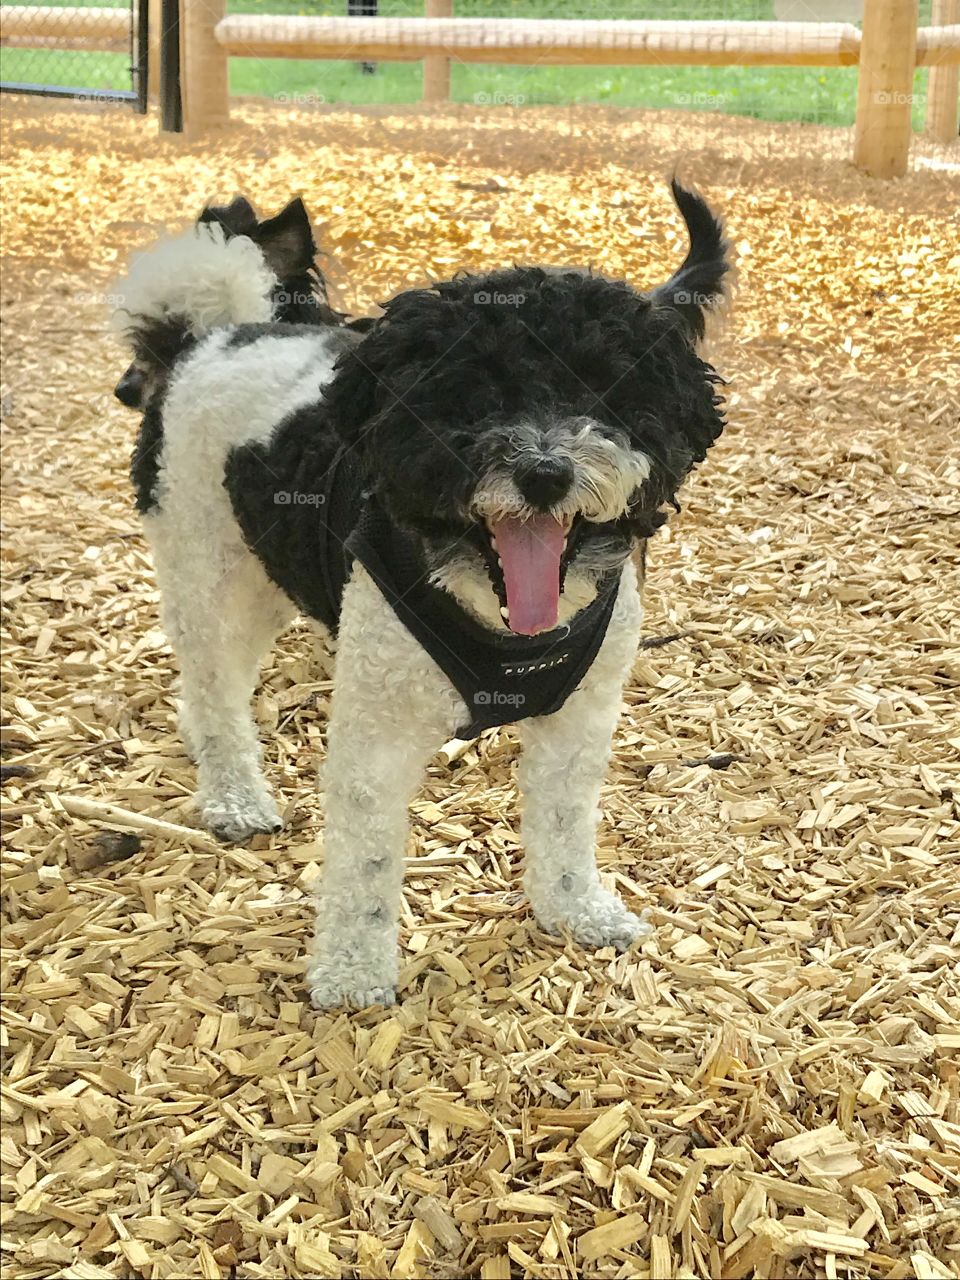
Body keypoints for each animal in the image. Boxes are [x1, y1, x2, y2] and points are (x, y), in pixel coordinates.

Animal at [112, 177, 727, 1008]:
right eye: (471, 397)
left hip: (269, 574)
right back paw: (235, 796)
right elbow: (366, 865)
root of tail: (208, 337)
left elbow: (565, 828)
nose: (544, 473)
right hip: (207, 570)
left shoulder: (577, 729)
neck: (502, 621)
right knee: (213, 690)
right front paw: (352, 975)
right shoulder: (376, 740)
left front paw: (578, 913)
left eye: (603, 391)